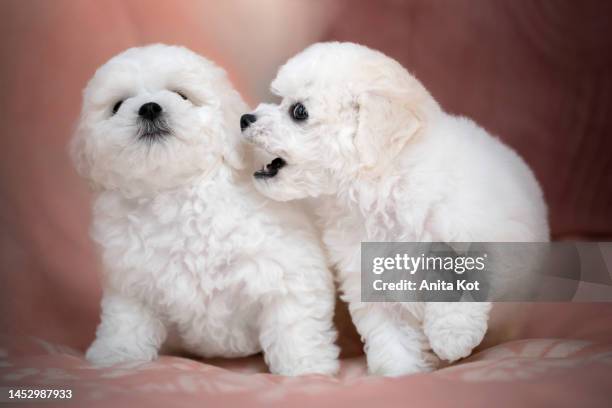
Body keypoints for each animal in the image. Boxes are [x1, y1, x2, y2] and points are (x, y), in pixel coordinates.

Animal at [73, 44, 340, 376]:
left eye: (182, 95)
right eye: (117, 105)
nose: (149, 108)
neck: (178, 193)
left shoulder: (287, 271)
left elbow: (294, 323)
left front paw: (306, 369)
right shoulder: (129, 281)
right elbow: (126, 321)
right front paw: (116, 356)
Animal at [240, 41, 548, 376]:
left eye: (298, 111)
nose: (245, 119)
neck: (385, 186)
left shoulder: (478, 233)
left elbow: (460, 276)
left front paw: (451, 336)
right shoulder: (371, 281)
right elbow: (391, 336)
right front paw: (401, 373)